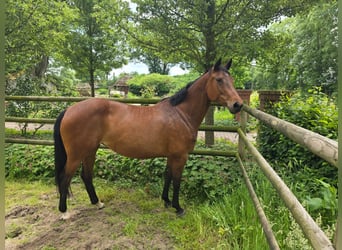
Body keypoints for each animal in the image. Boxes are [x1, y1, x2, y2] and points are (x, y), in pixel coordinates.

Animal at [53, 58, 243, 219]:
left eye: (232, 80)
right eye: (219, 80)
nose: (238, 105)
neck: (181, 114)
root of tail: (69, 110)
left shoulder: (172, 155)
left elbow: (167, 176)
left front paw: (166, 201)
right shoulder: (181, 156)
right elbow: (177, 180)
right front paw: (178, 207)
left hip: (90, 151)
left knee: (86, 176)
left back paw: (97, 203)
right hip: (76, 154)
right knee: (65, 178)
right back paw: (64, 212)